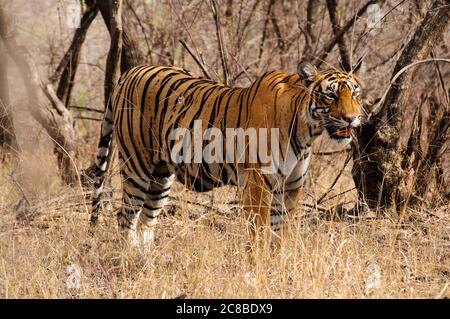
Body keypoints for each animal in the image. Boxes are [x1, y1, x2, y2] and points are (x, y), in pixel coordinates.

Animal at [87, 59, 362, 250]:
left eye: (355, 94)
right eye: (331, 94)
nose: (352, 118)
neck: (307, 132)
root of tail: (131, 71)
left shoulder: (291, 187)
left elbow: (280, 234)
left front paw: (278, 267)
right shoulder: (258, 183)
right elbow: (259, 232)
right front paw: (257, 271)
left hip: (160, 177)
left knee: (147, 220)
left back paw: (145, 262)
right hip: (137, 167)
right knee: (125, 216)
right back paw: (128, 258)